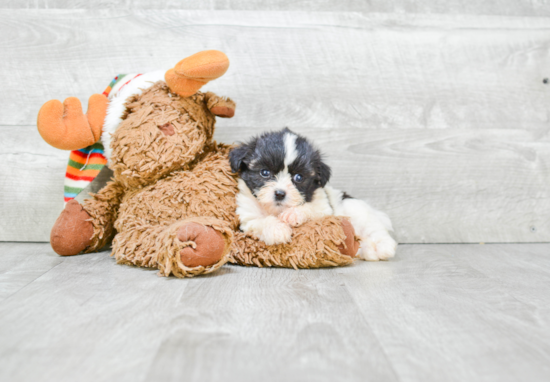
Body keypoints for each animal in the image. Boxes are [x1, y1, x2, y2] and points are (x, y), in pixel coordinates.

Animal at [231, 128, 398, 260]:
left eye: (299, 177)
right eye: (264, 173)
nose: (280, 194)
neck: (276, 210)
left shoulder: (324, 207)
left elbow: (311, 209)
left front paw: (294, 214)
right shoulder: (247, 216)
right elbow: (259, 221)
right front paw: (277, 230)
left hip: (360, 214)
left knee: (375, 230)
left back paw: (384, 247)